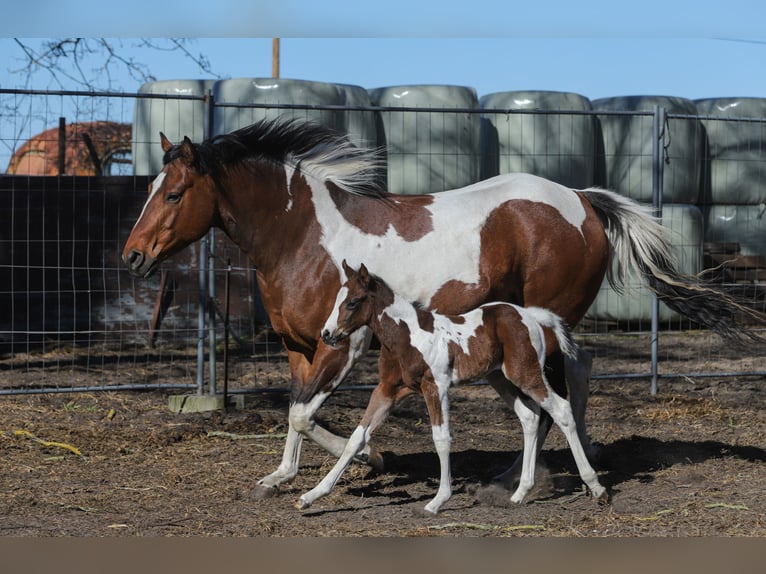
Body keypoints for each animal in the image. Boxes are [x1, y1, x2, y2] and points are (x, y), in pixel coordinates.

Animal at [298, 261, 607, 514]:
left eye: (353, 302)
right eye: (337, 300)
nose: (327, 334)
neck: (407, 336)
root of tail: (533, 316)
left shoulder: (436, 386)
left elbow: (441, 439)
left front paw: (437, 501)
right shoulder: (387, 390)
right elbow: (356, 438)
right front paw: (311, 496)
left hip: (525, 374)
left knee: (561, 411)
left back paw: (595, 486)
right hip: (500, 378)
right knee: (530, 417)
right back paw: (520, 493)